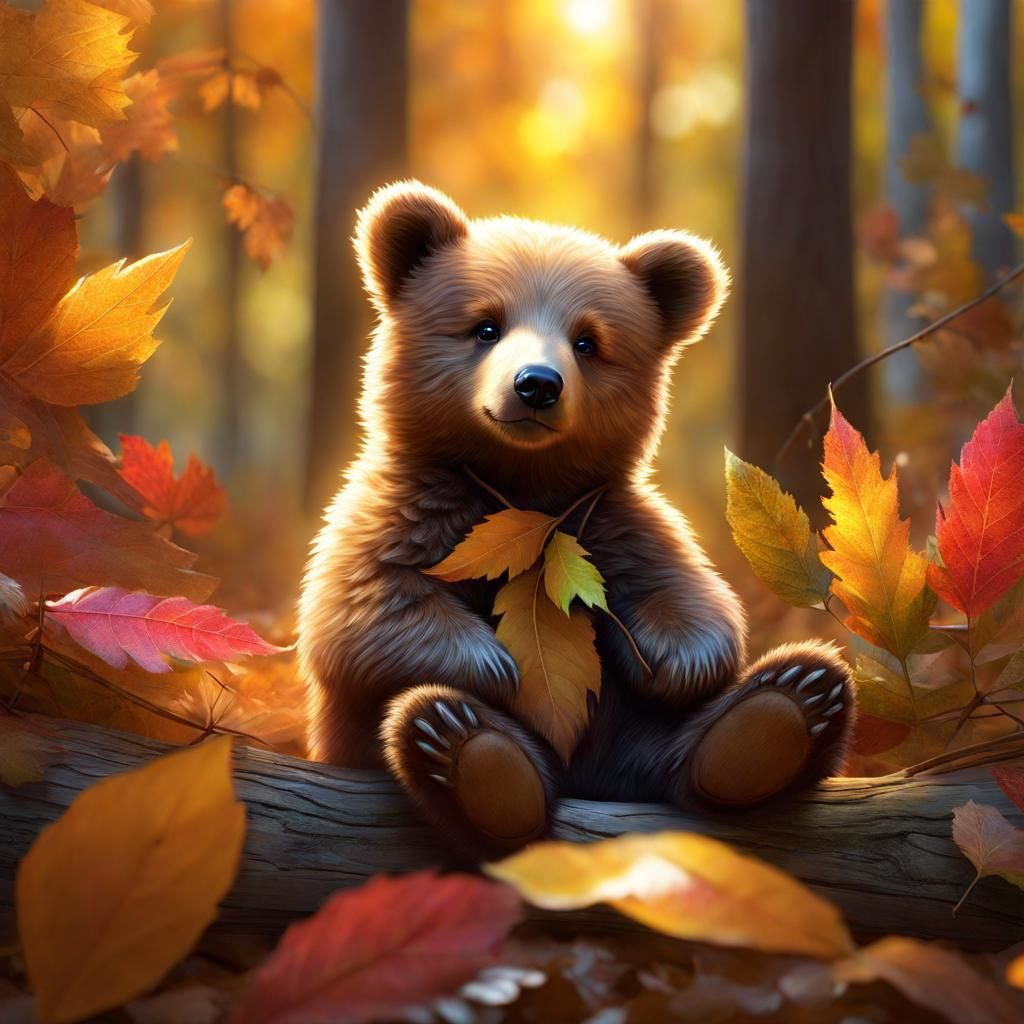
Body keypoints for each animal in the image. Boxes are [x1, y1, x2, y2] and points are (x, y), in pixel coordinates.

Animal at [297, 181, 854, 862]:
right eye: (486, 325)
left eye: (587, 340)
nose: (537, 384)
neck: (523, 487)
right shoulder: (406, 508)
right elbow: (361, 610)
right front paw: (495, 665)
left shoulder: (613, 522)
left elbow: (695, 598)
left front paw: (673, 659)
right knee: (429, 729)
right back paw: (470, 750)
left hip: (632, 738)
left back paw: (779, 710)